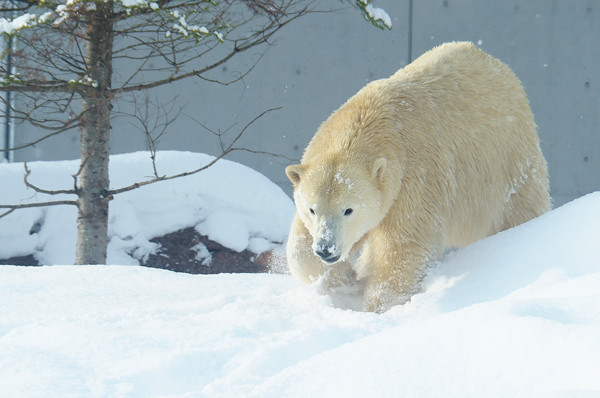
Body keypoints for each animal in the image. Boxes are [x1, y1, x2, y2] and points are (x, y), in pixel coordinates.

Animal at [284, 42, 552, 312]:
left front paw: (376, 306)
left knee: (519, 207)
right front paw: (344, 278)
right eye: (312, 209)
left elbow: (405, 247)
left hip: (508, 159)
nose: (326, 249)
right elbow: (299, 246)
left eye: (348, 210)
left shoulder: (413, 179)